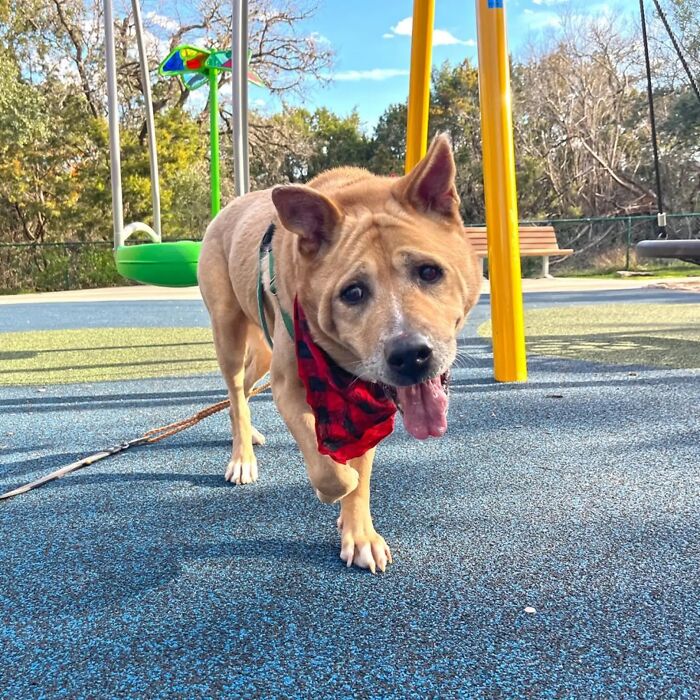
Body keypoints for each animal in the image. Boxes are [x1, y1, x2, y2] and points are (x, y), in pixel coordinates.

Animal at [197, 135, 482, 576]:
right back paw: (243, 456)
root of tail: (231, 205)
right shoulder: (289, 386)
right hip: (228, 330)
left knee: (241, 390)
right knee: (235, 391)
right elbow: (335, 472)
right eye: (353, 292)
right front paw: (339, 487)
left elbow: (359, 473)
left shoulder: (366, 402)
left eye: (429, 272)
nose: (410, 355)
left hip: (260, 347)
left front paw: (359, 535)